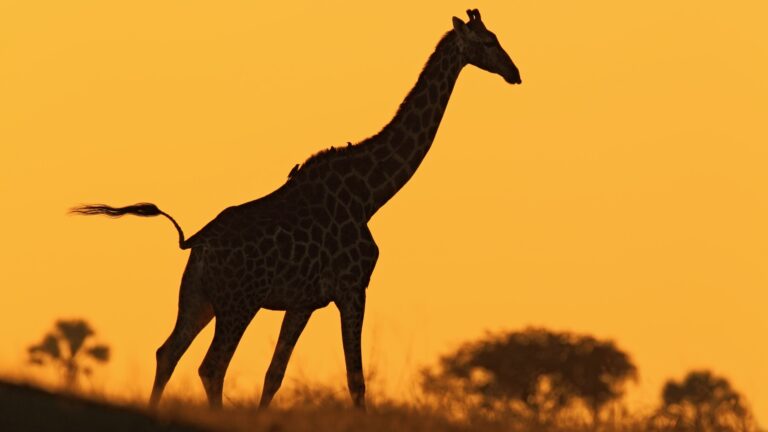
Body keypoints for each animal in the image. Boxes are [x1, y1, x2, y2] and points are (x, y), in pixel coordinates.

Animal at [72, 9, 521, 410]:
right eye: (488, 41)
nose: (514, 72)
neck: (370, 195)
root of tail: (195, 243)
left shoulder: (304, 300)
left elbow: (274, 375)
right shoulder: (352, 288)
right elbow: (356, 380)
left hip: (198, 298)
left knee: (168, 353)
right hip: (238, 303)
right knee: (210, 367)